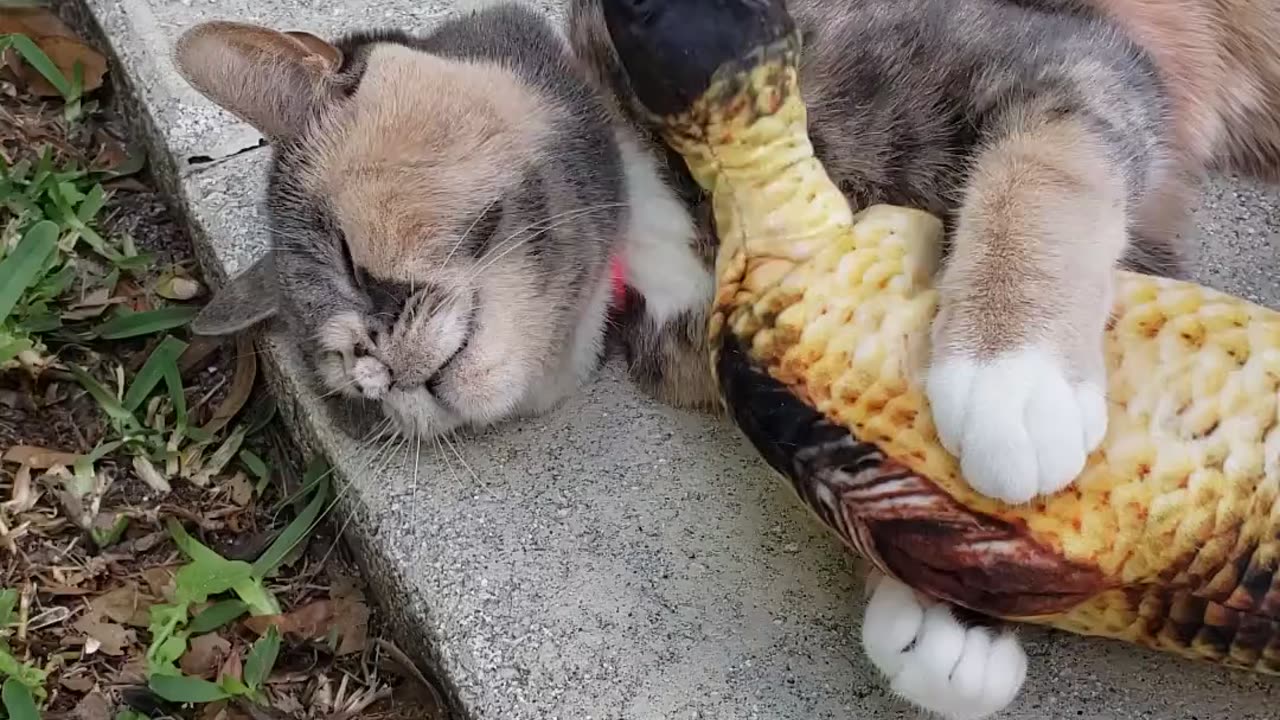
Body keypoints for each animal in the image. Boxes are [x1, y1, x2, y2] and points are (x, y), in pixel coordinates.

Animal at [172, 2, 1280, 712]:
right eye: (342, 380)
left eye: (350, 260)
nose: (380, 374)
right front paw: (944, 616)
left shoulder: (1069, 60)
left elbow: (1043, 170)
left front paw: (1010, 375)